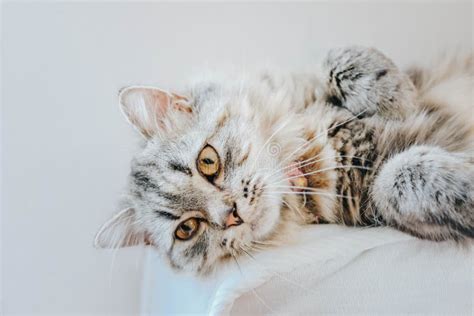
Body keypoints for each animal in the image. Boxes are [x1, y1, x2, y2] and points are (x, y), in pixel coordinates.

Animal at [94, 46, 472, 274]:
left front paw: (398, 96)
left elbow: (336, 60)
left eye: (207, 162)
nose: (231, 215)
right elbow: (397, 179)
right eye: (187, 229)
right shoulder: (370, 198)